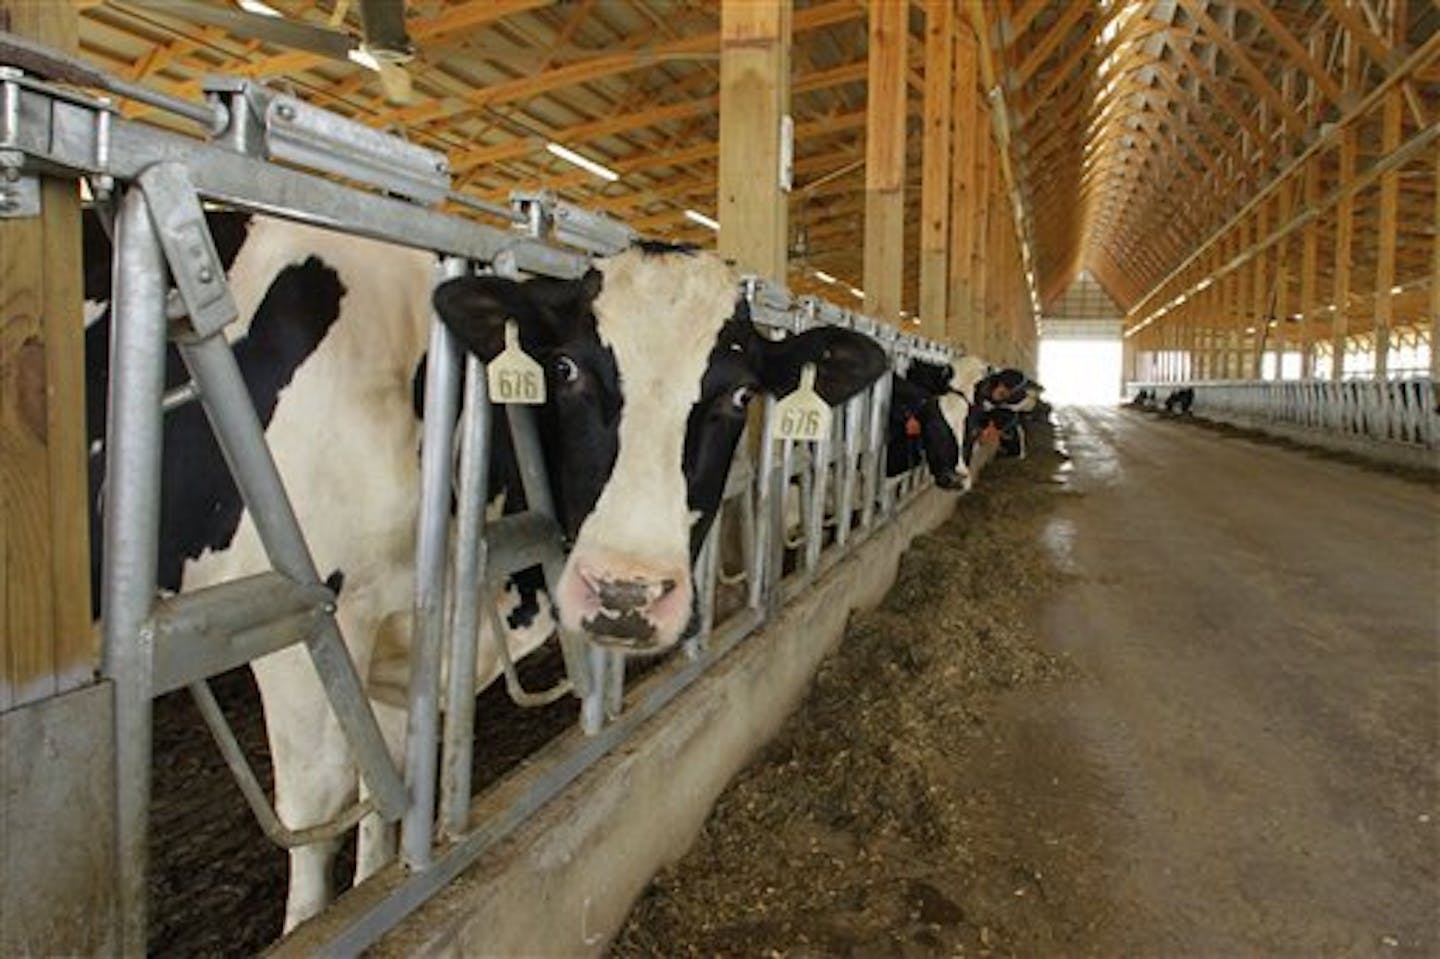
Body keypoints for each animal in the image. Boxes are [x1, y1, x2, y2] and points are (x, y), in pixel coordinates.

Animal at [87, 208, 887, 927]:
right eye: (564, 368)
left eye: (740, 394)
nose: (626, 594)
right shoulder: (293, 623)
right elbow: (319, 809)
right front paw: (312, 924)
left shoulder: (397, 635)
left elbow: (390, 788)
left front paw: (377, 884)